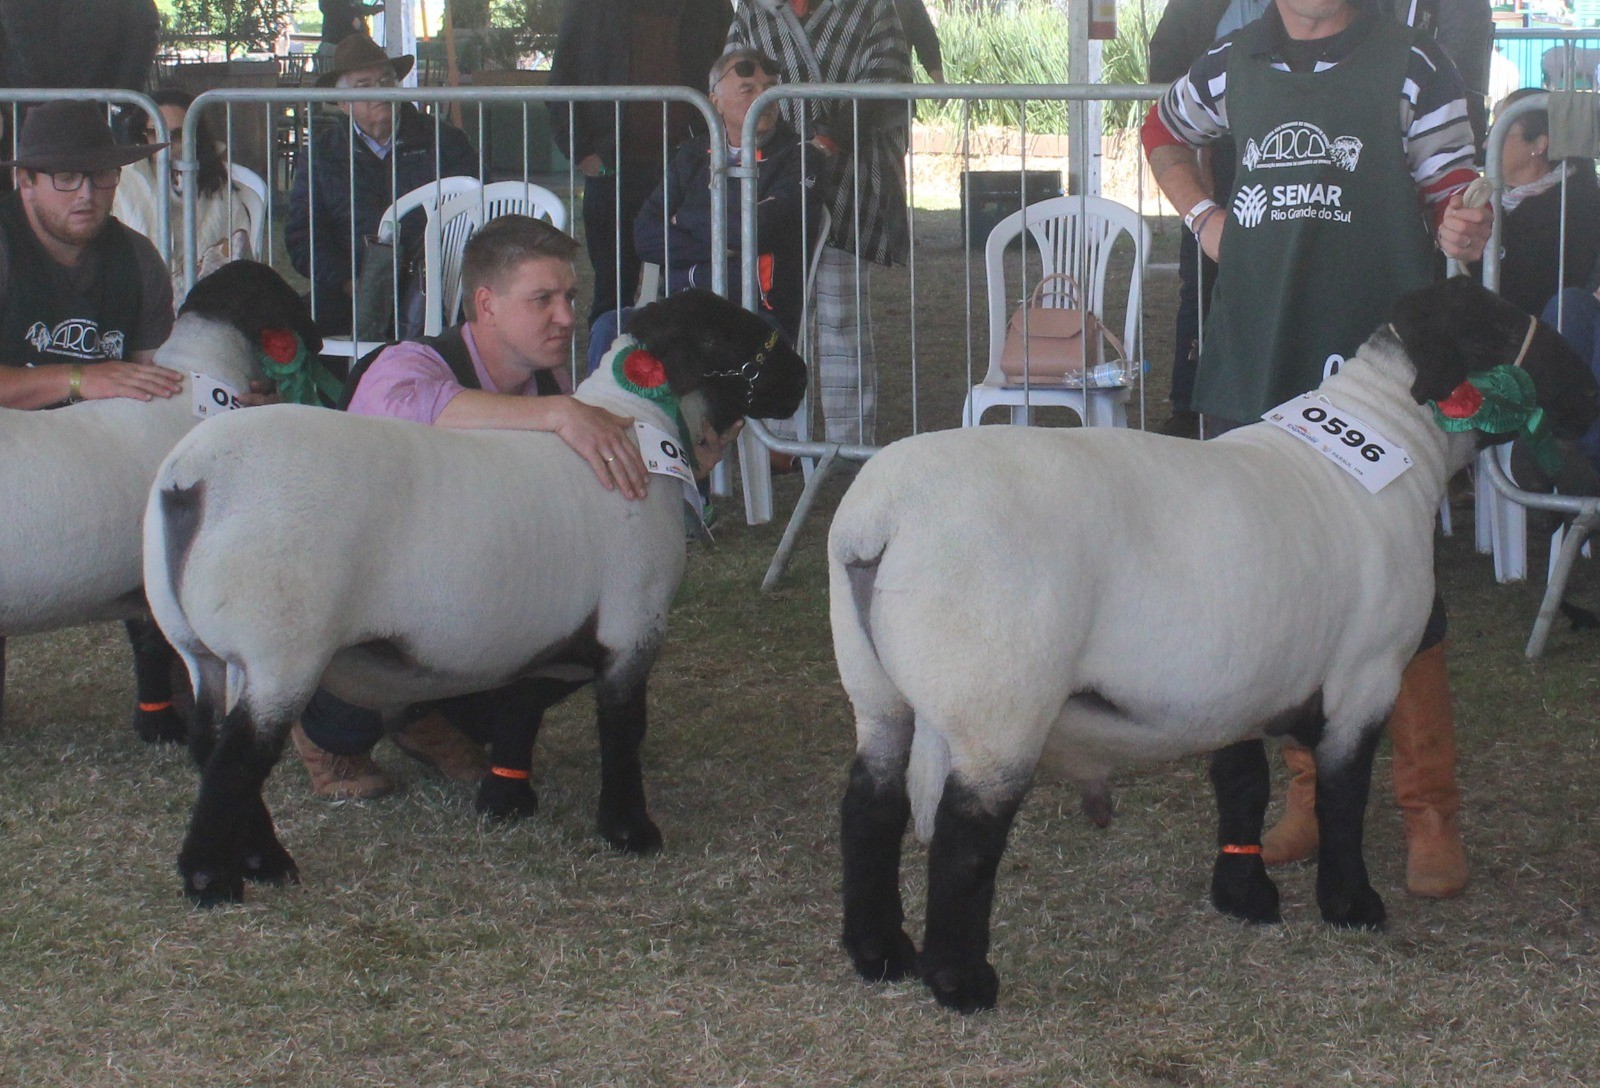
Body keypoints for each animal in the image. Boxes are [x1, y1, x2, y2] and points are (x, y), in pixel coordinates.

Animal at [142, 286, 806, 902]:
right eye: (731, 335)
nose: (800, 377)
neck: (641, 430)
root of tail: (190, 478)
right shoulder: (632, 623)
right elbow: (623, 730)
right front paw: (630, 832)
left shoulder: (547, 636)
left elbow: (521, 704)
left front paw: (505, 800)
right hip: (281, 650)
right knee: (236, 760)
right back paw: (213, 877)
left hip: (205, 652)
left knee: (212, 745)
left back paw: (263, 861)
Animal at [832, 278, 1600, 1011]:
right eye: (1498, 322)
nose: (1588, 389)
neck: (1392, 440)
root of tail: (882, 516)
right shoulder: (1367, 672)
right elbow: (1342, 794)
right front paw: (1351, 906)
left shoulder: (1236, 681)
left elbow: (1242, 783)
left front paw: (1245, 895)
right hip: (996, 701)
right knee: (965, 838)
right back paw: (960, 982)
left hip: (877, 689)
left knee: (869, 807)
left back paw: (879, 954)